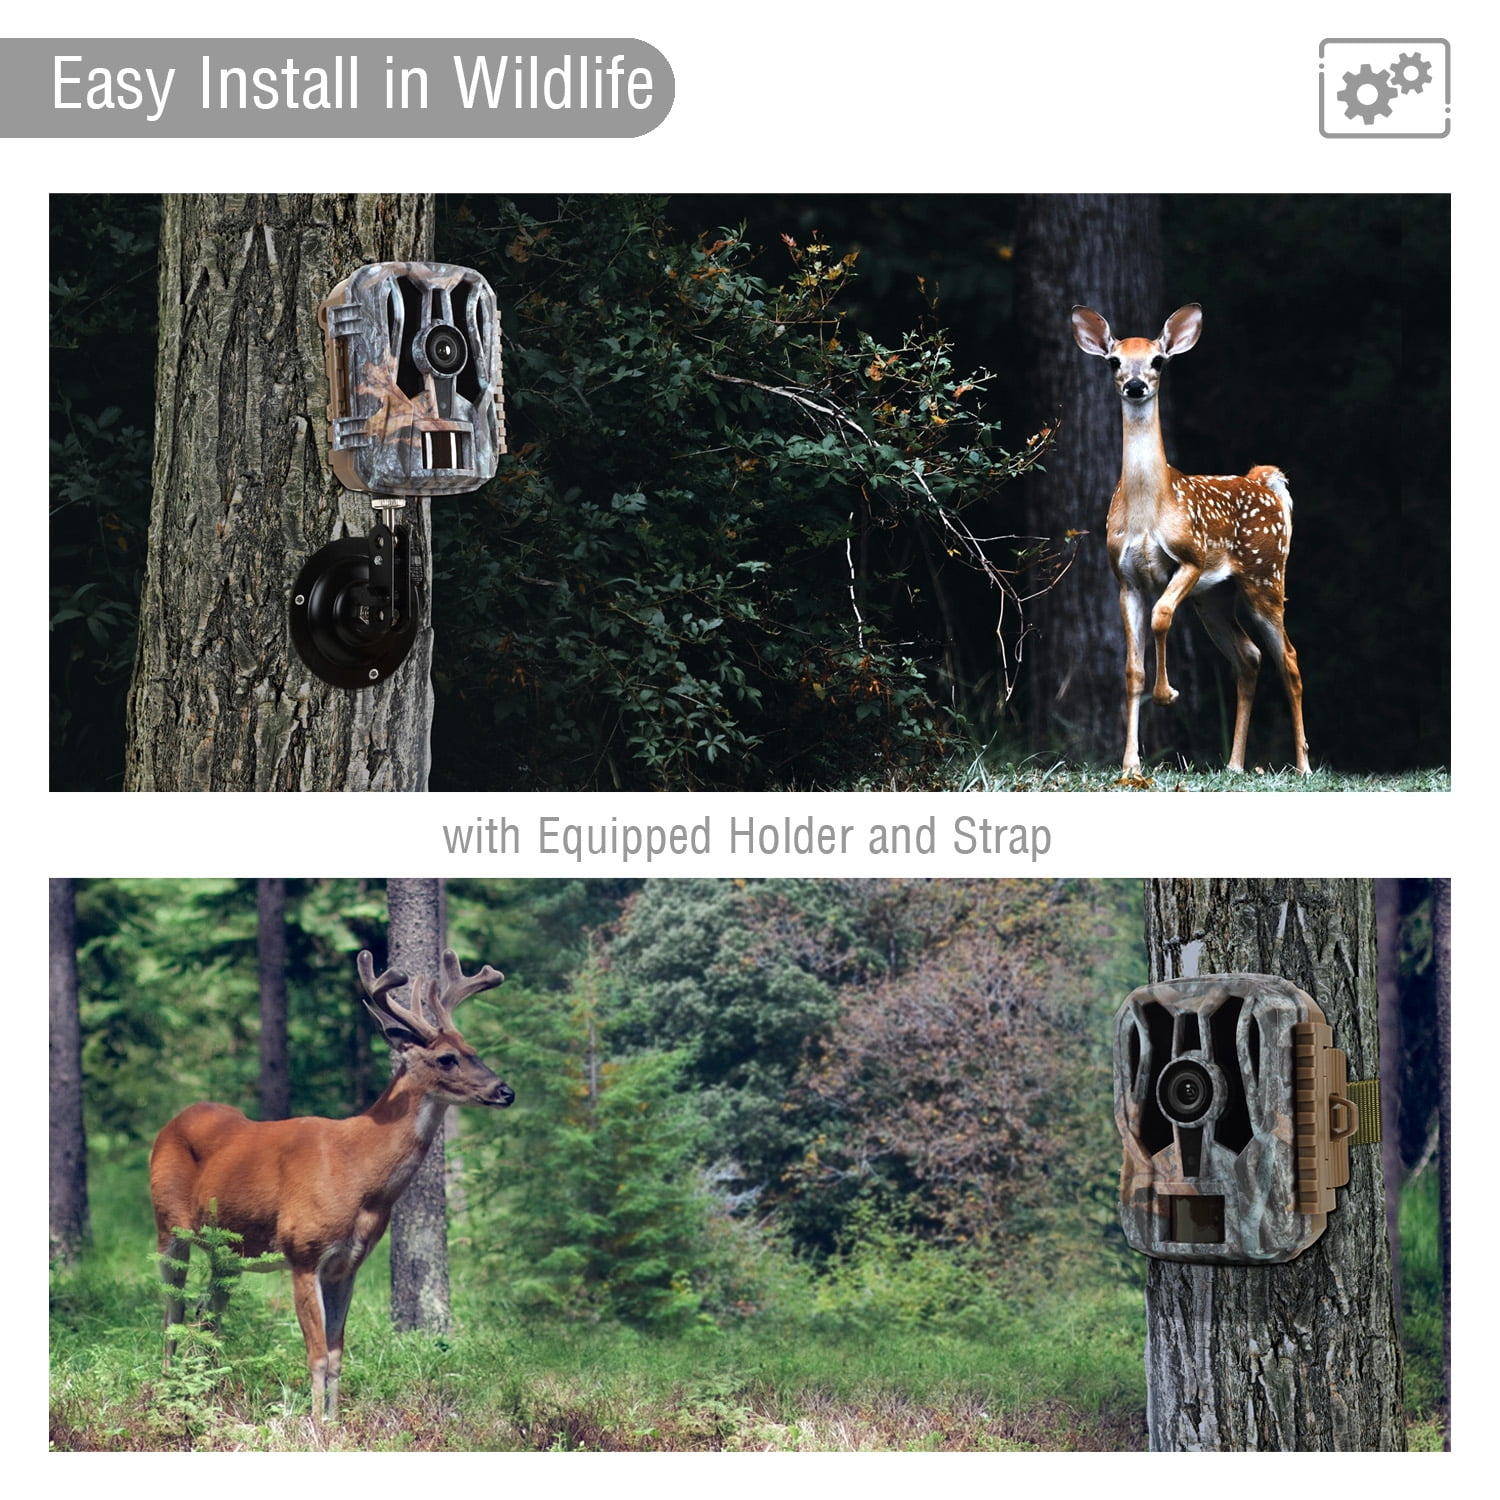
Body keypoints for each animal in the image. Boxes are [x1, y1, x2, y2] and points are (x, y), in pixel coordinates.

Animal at [149, 948, 511, 1423]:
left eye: (474, 1050)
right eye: (448, 1058)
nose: (505, 1090)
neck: (358, 1173)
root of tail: (169, 1123)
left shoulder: (347, 1264)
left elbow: (338, 1354)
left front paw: (333, 1421)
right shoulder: (303, 1252)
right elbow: (317, 1354)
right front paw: (315, 1425)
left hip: (228, 1249)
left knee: (206, 1313)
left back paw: (208, 1392)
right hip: (167, 1226)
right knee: (171, 1310)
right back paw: (168, 1393)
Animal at [1070, 303, 1310, 776]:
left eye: (1159, 360)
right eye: (1114, 362)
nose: (1136, 385)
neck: (1149, 510)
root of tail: (1265, 481)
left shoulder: (1191, 558)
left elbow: (1162, 616)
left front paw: (1168, 694)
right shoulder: (1124, 579)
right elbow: (1132, 669)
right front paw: (1130, 764)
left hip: (1266, 576)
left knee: (1289, 659)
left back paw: (1304, 766)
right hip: (1215, 597)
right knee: (1249, 657)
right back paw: (1234, 765)